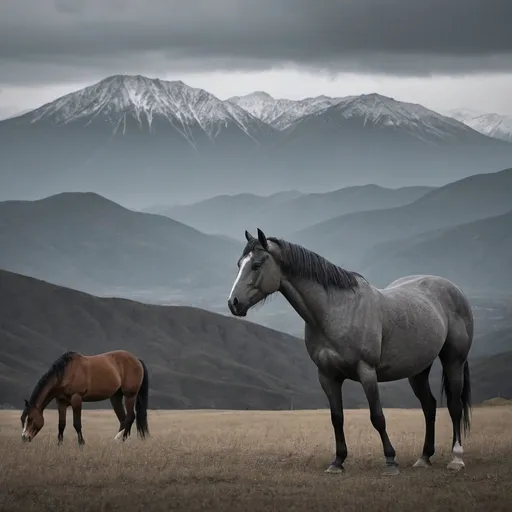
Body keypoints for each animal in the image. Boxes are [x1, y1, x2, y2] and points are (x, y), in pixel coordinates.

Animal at [22, 350, 150, 446]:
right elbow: (61, 424)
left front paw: (81, 443)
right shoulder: (61, 402)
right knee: (123, 419)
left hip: (130, 395)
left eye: (31, 418)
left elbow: (77, 423)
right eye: (23, 419)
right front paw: (59, 444)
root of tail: (136, 359)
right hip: (115, 397)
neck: (66, 373)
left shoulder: (76, 399)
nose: (24, 438)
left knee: (130, 417)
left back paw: (121, 439)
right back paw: (119, 440)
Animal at [227, 229, 472, 476]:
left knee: (454, 406)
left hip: (454, 361)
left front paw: (390, 461)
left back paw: (457, 459)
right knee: (429, 406)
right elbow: (337, 418)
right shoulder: (327, 376)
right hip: (418, 370)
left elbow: (377, 416)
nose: (233, 303)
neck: (336, 311)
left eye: (257, 265)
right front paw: (337, 461)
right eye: (239, 264)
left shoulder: (367, 372)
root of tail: (454, 289)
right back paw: (424, 457)